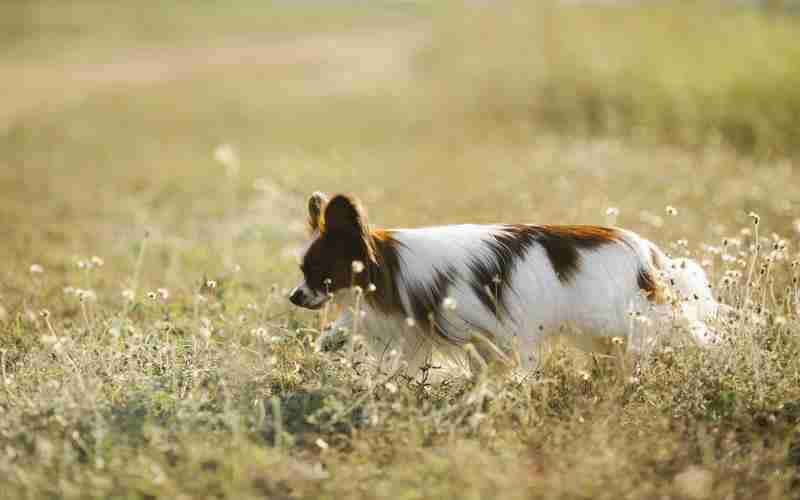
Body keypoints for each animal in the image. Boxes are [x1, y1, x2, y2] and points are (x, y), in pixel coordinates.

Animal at [290, 193, 724, 374]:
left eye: (317, 271)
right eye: (302, 271)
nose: (293, 297)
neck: (393, 266)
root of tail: (647, 251)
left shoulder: (492, 332)